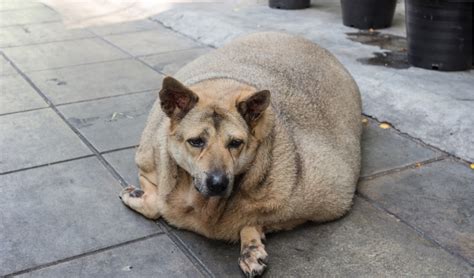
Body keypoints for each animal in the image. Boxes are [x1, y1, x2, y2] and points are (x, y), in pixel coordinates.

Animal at [120, 32, 362, 276]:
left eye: (236, 143)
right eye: (196, 142)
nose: (218, 183)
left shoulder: (328, 198)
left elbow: (255, 218)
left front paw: (250, 242)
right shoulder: (148, 163)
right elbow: (156, 204)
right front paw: (136, 194)